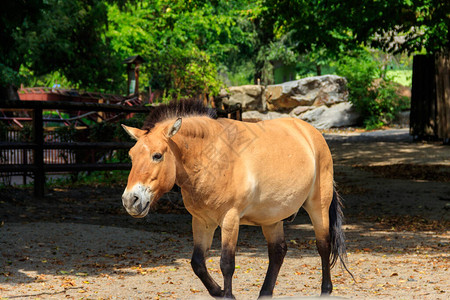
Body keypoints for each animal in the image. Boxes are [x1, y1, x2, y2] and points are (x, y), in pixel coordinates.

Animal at [121, 100, 350, 298]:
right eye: (131, 155)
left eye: (157, 155)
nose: (130, 200)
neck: (212, 158)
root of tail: (311, 133)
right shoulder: (202, 221)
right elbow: (198, 263)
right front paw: (218, 291)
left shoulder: (230, 219)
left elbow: (226, 263)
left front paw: (227, 295)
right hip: (272, 217)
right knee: (278, 252)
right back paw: (264, 293)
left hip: (317, 207)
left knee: (323, 245)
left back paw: (326, 290)